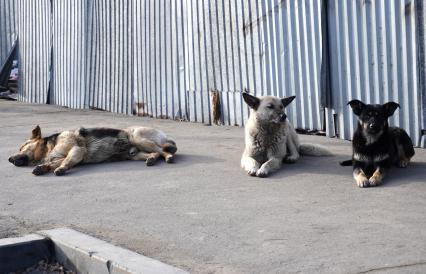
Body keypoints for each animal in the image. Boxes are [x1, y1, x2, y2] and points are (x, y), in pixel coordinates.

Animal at [9, 124, 177, 176]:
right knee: (154, 153)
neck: (48, 147)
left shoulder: (77, 150)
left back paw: (168, 157)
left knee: (162, 150)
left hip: (137, 138)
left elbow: (65, 161)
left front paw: (61, 169)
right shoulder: (70, 157)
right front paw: (43, 168)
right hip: (133, 154)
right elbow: (54, 163)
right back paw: (151, 159)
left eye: (22, 147)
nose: (9, 159)